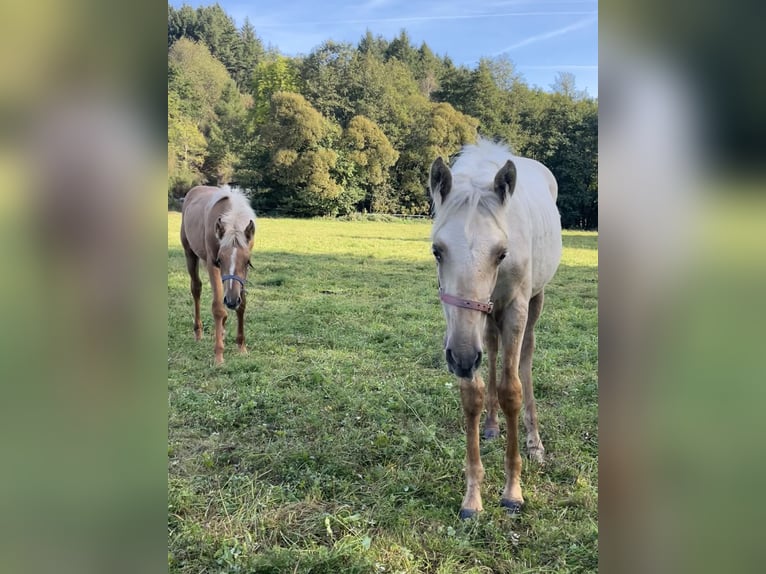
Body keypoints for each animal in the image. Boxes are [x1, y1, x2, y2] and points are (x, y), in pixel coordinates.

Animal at [180, 186, 256, 365]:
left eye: (247, 261)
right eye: (219, 260)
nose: (232, 301)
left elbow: (242, 306)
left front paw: (242, 347)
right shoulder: (211, 264)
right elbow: (218, 308)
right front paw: (219, 355)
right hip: (189, 253)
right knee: (196, 288)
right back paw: (198, 332)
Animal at [428, 138, 562, 519]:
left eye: (502, 253)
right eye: (437, 251)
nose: (461, 357)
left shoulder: (515, 307)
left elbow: (510, 390)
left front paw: (513, 491)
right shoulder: (460, 325)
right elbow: (472, 394)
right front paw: (473, 497)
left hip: (535, 300)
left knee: (525, 359)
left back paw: (535, 442)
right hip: (485, 319)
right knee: (490, 349)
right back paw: (490, 426)